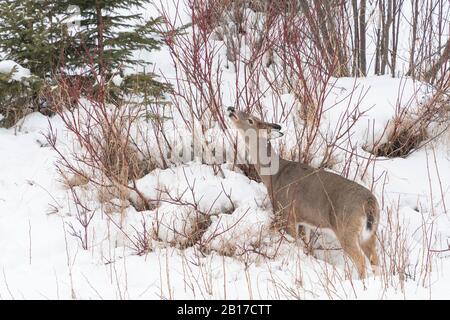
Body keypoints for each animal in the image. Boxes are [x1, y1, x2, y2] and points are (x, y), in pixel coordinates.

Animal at [229, 107, 380, 278]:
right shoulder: (304, 220)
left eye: (251, 120)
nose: (231, 109)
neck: (273, 176)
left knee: (361, 260)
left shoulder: (287, 213)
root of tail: (369, 203)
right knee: (375, 259)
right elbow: (306, 242)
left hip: (346, 228)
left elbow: (294, 242)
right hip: (370, 234)